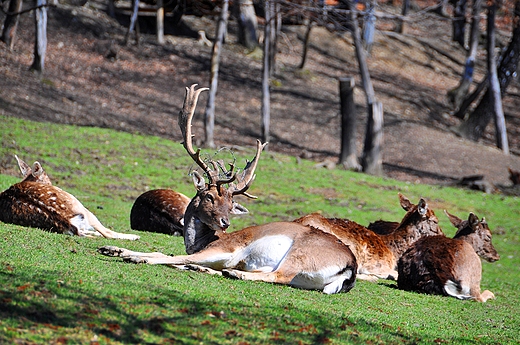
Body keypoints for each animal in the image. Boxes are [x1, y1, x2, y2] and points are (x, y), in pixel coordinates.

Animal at [97, 84, 358, 292]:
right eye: (210, 197)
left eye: (231, 204)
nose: (225, 222)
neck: (202, 242)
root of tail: (350, 268)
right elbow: (174, 257)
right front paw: (110, 248)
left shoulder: (226, 248)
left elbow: (166, 255)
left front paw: (130, 255)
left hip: (300, 255)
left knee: (278, 275)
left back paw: (233, 272)